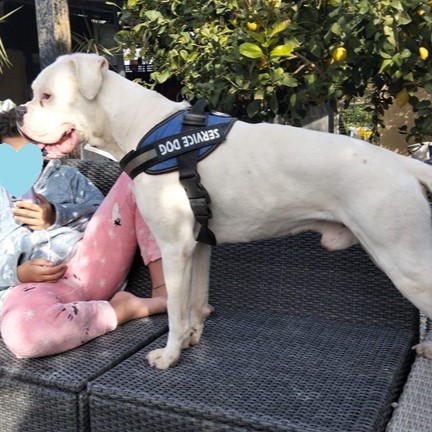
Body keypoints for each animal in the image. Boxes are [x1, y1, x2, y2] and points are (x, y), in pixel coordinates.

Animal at [17, 53, 432, 368]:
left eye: (48, 96)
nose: (17, 113)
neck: (140, 127)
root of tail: (403, 164)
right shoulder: (199, 246)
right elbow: (194, 304)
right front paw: (191, 340)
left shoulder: (175, 248)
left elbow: (174, 310)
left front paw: (169, 357)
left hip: (405, 263)